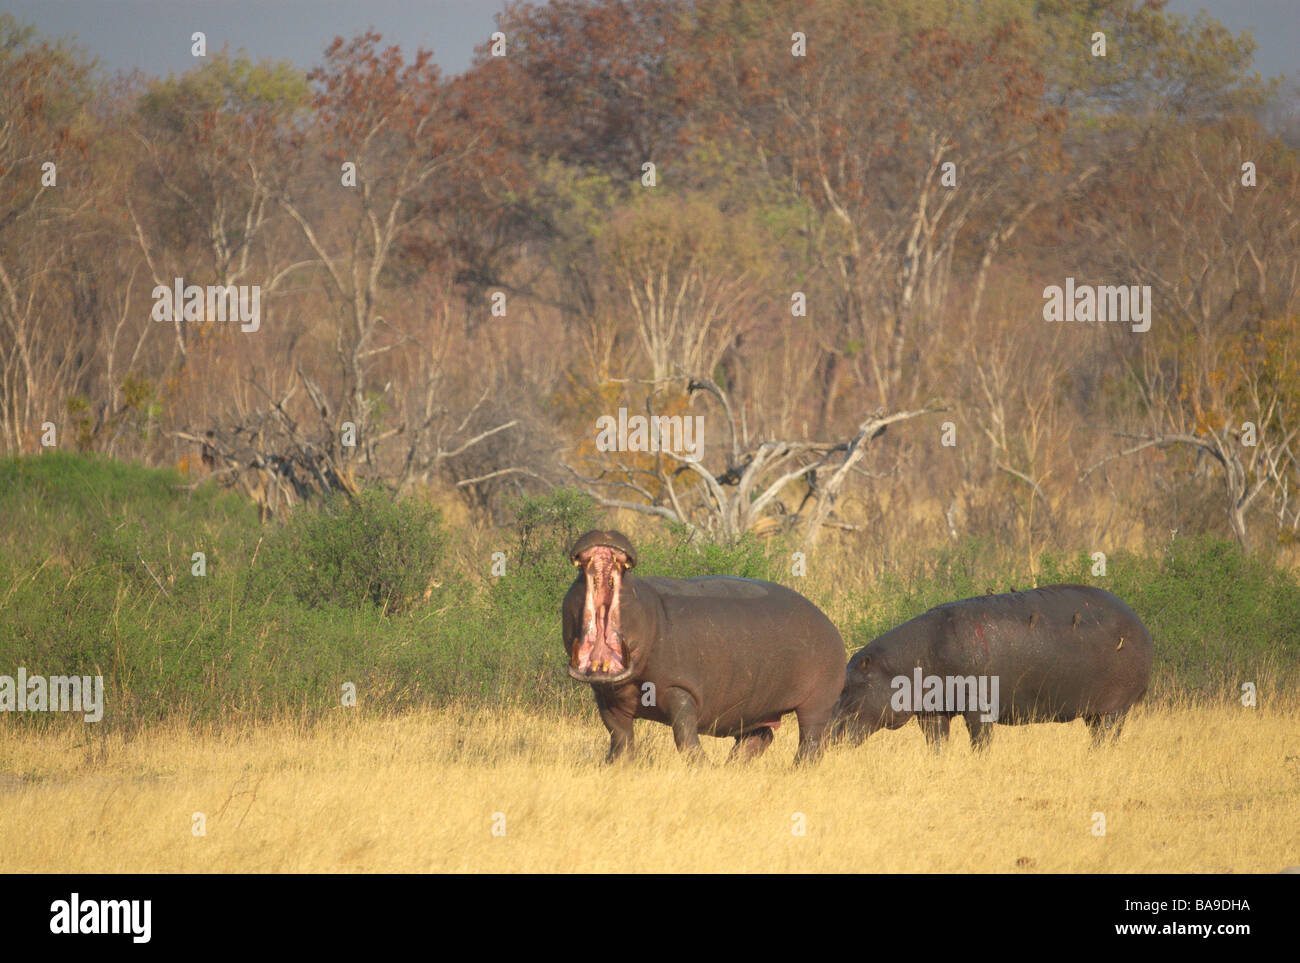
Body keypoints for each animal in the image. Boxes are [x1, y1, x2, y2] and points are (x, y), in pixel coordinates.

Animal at [564, 530, 847, 764]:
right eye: (578, 579)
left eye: (630, 580)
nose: (605, 530)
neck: (648, 607)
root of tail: (827, 620)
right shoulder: (606, 697)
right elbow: (620, 736)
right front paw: (615, 765)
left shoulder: (679, 688)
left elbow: (684, 735)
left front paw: (702, 766)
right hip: (756, 704)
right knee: (758, 737)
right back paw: (733, 767)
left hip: (818, 700)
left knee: (811, 739)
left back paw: (795, 770)